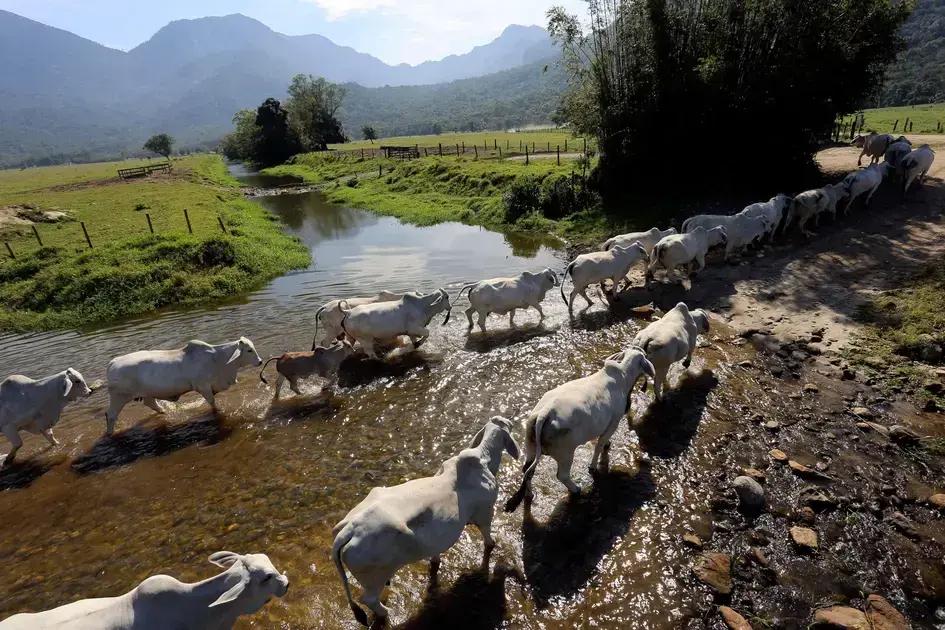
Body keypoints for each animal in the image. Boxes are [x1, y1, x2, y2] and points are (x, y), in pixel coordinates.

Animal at [104, 338, 262, 436]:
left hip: (146, 393)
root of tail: (112, 362)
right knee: (110, 415)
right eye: (249, 350)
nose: (260, 361)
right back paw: (111, 434)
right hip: (119, 397)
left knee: (151, 403)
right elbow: (212, 403)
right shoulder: (203, 387)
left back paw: (163, 412)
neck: (219, 359)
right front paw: (218, 412)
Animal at [332, 420, 520, 628]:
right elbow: (488, 540)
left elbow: (435, 555)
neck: (484, 459)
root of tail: (349, 529)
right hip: (375, 576)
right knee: (369, 599)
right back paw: (387, 612)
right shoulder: (486, 512)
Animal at [506, 348, 652, 516]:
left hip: (530, 446)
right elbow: (599, 445)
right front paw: (593, 465)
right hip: (565, 453)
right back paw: (576, 489)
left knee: (527, 471)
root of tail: (544, 413)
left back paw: (529, 494)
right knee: (561, 475)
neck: (623, 376)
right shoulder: (613, 423)